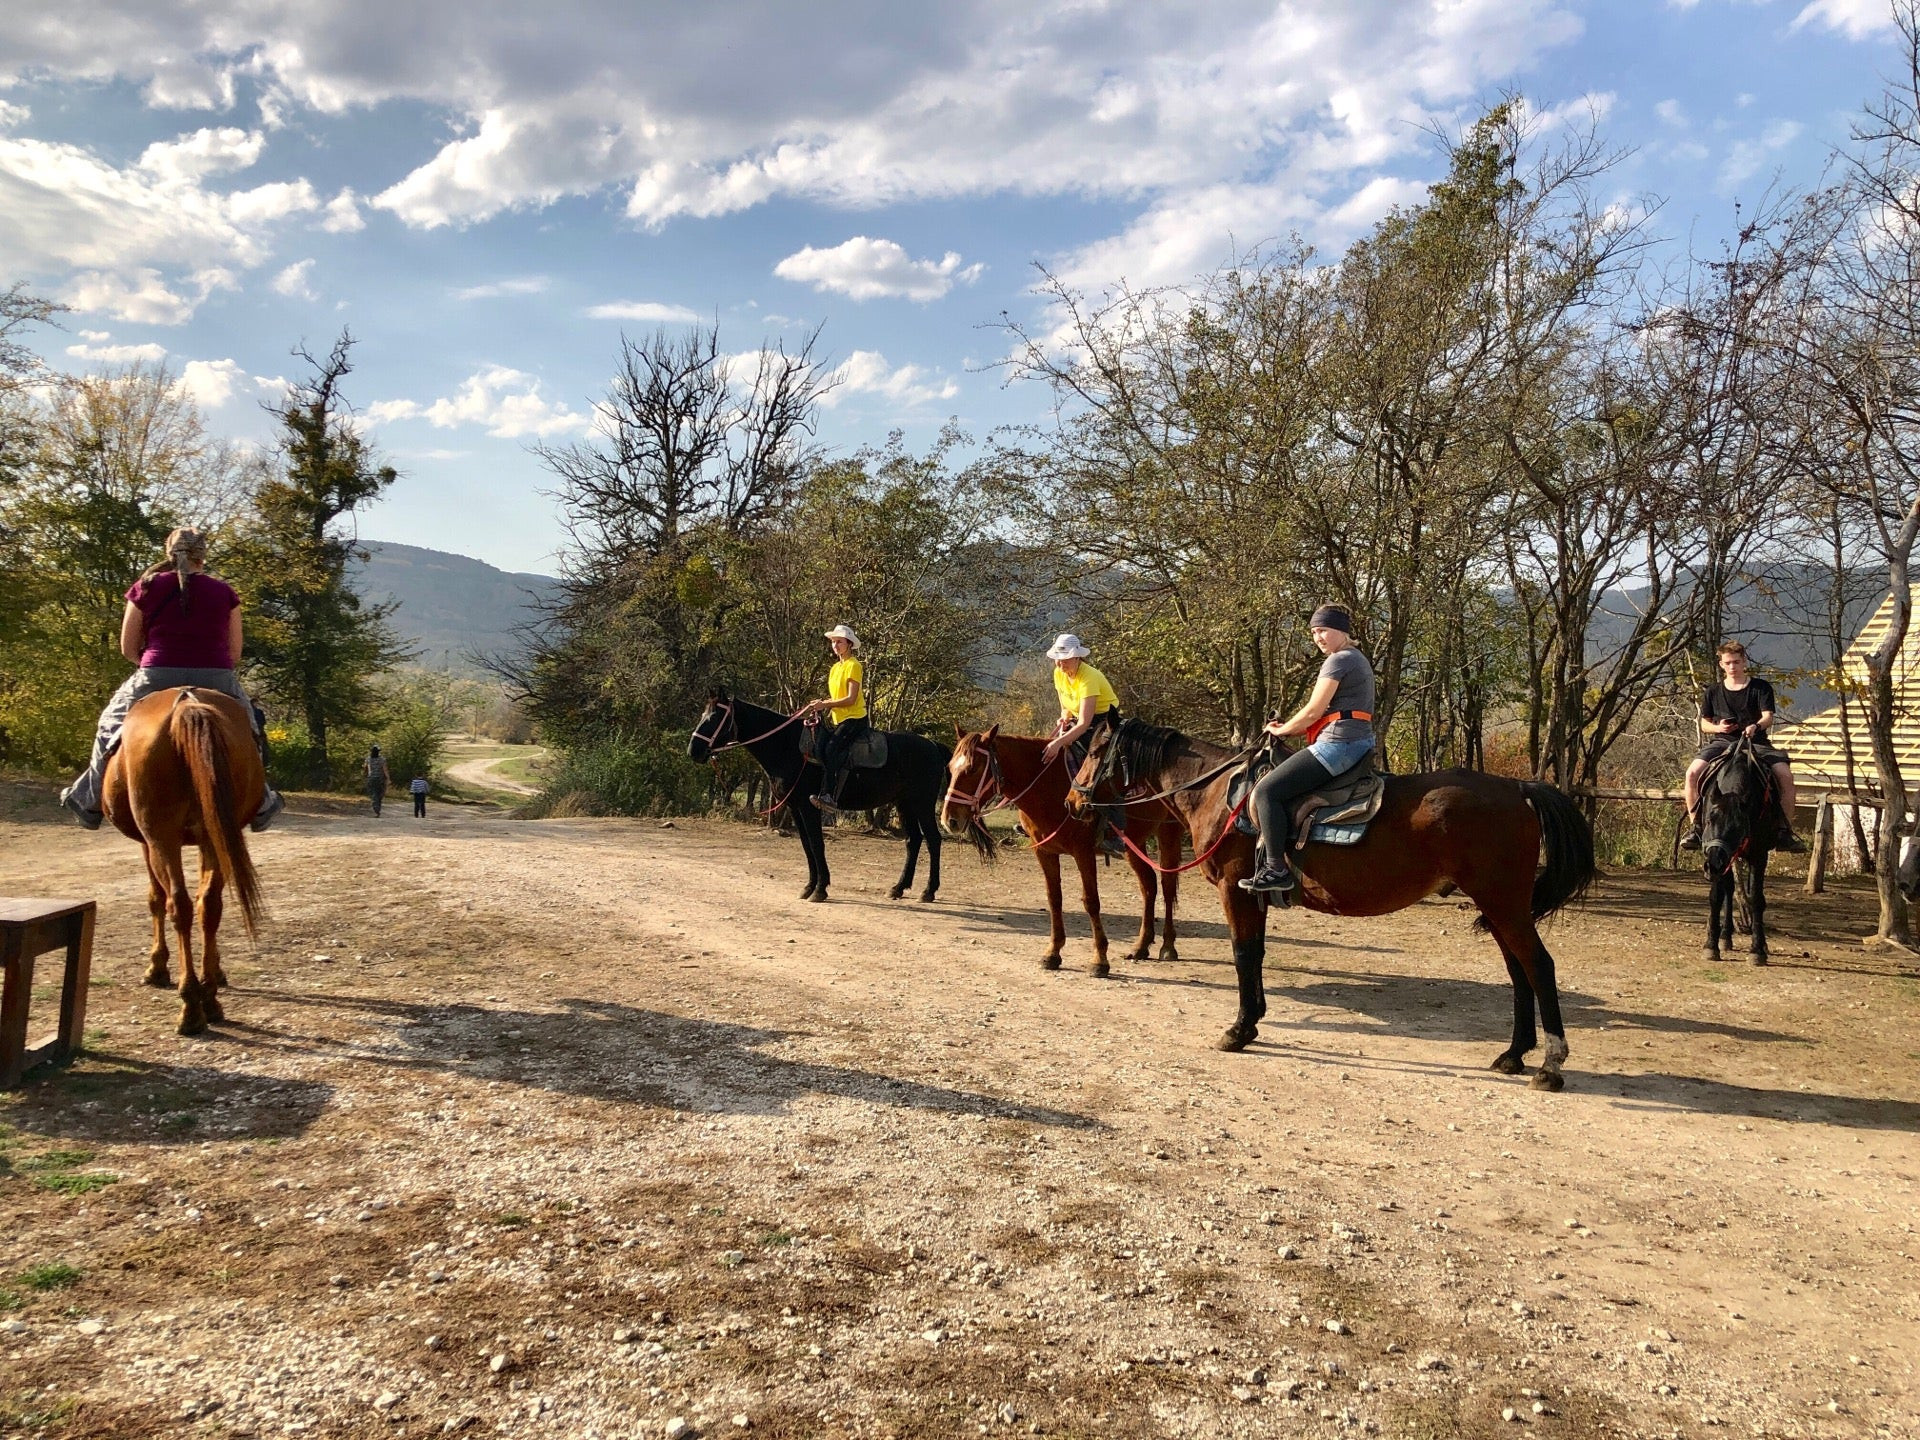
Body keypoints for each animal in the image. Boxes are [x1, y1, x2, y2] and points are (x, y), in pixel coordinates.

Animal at [102, 687, 263, 1036]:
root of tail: (187, 704)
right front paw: (215, 971)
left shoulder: (147, 844)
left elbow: (155, 899)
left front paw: (156, 967)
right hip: (215, 834)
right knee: (209, 905)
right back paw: (210, 999)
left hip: (161, 838)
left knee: (178, 904)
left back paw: (190, 1006)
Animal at [691, 687, 990, 902]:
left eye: (715, 718)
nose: (693, 750)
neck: (789, 748)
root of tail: (932, 746)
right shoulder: (796, 807)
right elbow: (807, 846)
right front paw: (809, 886)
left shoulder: (809, 807)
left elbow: (817, 844)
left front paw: (820, 889)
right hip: (904, 804)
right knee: (914, 841)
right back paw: (898, 887)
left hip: (922, 804)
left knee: (933, 840)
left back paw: (928, 891)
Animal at [940, 733, 1182, 983]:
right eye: (950, 767)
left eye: (973, 768)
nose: (950, 820)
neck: (1046, 786)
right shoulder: (1045, 852)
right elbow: (1054, 898)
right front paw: (1052, 953)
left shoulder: (1083, 852)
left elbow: (1091, 902)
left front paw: (1099, 960)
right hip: (1133, 844)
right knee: (1148, 885)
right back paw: (1141, 946)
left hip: (1169, 832)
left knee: (1167, 885)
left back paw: (1168, 946)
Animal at [1075, 721, 1597, 1090]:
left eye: (1097, 750)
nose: (1075, 801)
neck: (1224, 796)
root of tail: (1518, 789)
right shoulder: (1255, 895)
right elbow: (1256, 955)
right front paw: (1254, 1021)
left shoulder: (1234, 889)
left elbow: (1243, 955)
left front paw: (1238, 1030)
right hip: (1499, 906)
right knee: (1518, 970)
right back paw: (1513, 1054)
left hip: (1503, 902)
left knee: (1538, 966)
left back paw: (1550, 1066)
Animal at [1704, 737, 1774, 963]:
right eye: (1709, 820)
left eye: (1738, 827)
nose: (1714, 864)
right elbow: (1716, 896)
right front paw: (1711, 945)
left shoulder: (1759, 855)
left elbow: (1757, 900)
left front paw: (1757, 950)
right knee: (1729, 889)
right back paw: (1725, 937)